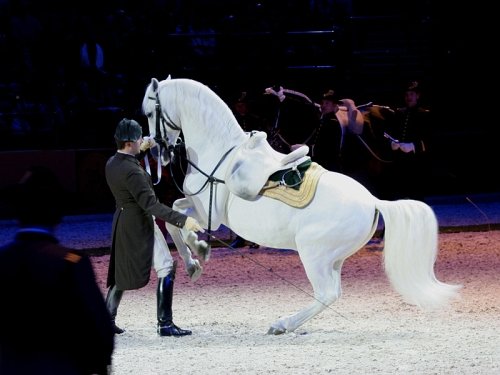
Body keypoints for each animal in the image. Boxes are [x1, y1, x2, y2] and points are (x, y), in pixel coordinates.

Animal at [142, 76, 460, 334]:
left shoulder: (210, 212)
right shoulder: (196, 204)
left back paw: (282, 324)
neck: (220, 151)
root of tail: (373, 201)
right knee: (334, 292)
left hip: (313, 253)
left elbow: (178, 221)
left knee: (327, 293)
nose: (157, 150)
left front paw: (199, 251)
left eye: (148, 112)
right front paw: (193, 263)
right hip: (333, 258)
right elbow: (173, 216)